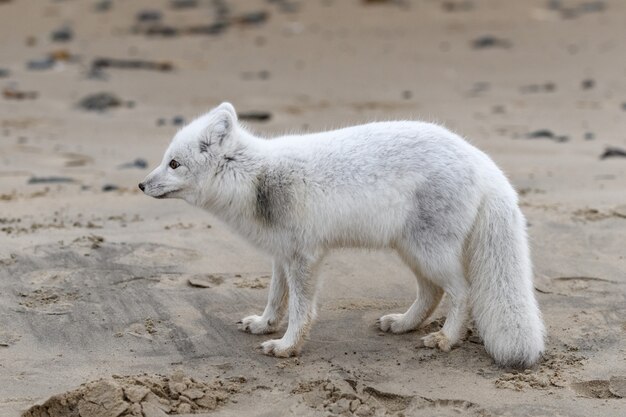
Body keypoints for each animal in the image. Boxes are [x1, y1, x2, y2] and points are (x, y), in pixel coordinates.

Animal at [139, 102, 544, 366]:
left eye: (174, 164)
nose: (141, 184)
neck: (255, 180)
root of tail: (480, 158)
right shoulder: (282, 256)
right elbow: (275, 298)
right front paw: (265, 325)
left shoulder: (305, 257)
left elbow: (301, 310)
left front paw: (287, 346)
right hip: (412, 251)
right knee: (432, 293)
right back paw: (404, 324)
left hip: (428, 252)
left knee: (462, 291)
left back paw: (446, 338)